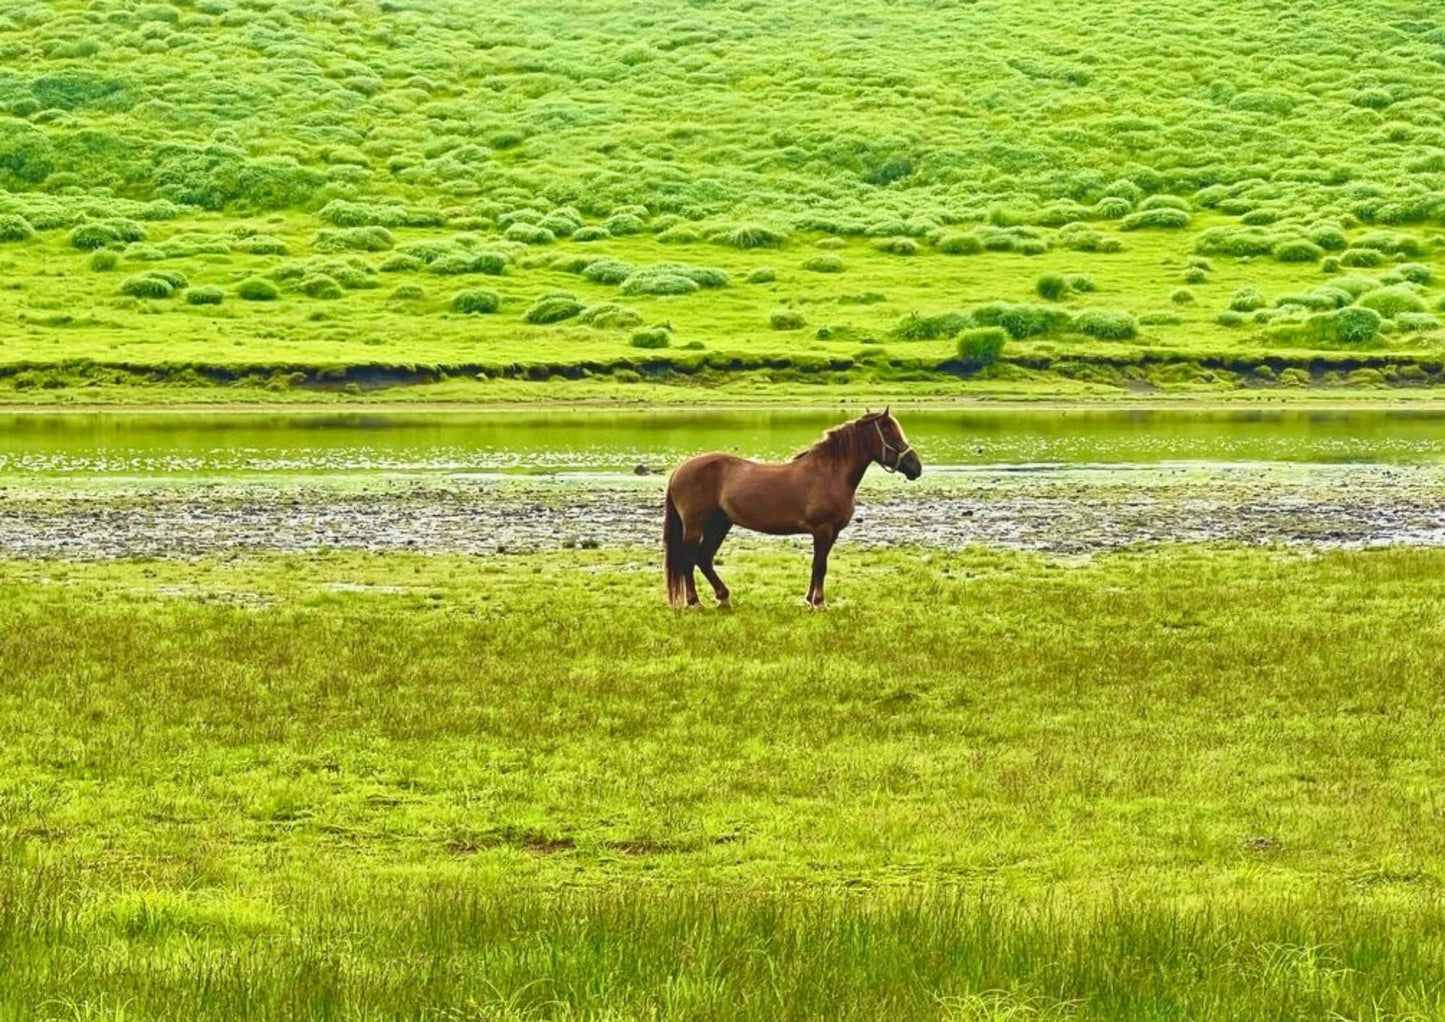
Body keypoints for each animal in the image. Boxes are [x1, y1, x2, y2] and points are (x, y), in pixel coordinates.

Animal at [661, 410, 919, 612]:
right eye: (888, 432)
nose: (916, 467)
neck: (830, 473)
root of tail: (679, 470)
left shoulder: (831, 533)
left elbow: (817, 565)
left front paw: (810, 600)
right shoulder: (823, 530)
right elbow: (820, 566)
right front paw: (819, 602)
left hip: (719, 524)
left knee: (703, 558)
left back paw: (724, 598)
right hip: (695, 525)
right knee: (689, 559)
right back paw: (695, 602)